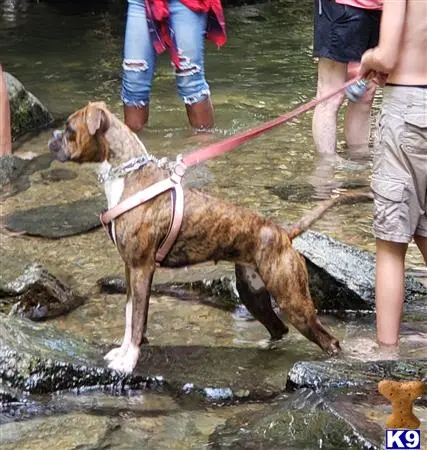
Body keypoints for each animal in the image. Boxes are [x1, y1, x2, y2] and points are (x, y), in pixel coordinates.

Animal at [48, 101, 368, 372]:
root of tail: (283, 232)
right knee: (279, 328)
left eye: (69, 129)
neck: (129, 176)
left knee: (328, 340)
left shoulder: (141, 269)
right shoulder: (130, 270)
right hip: (253, 293)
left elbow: (138, 321)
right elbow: (129, 317)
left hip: (292, 299)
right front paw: (122, 352)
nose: (52, 137)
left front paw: (128, 362)